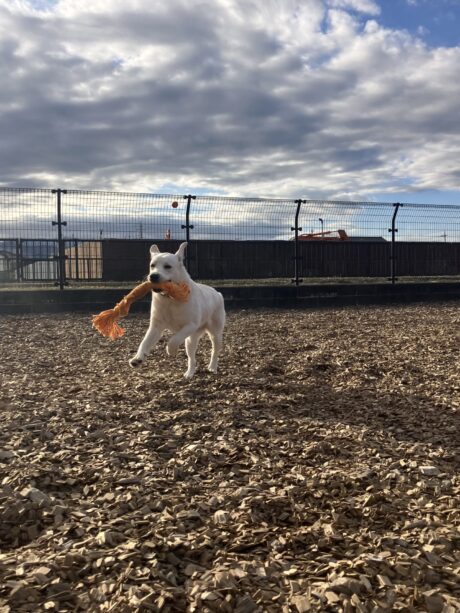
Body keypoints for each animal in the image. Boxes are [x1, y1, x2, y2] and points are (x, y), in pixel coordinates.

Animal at [128, 243, 226, 378]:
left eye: (168, 266)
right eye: (152, 265)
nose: (153, 276)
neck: (170, 298)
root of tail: (218, 293)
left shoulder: (190, 325)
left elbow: (173, 340)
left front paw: (171, 350)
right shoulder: (155, 327)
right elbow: (144, 342)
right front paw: (138, 358)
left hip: (215, 334)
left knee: (215, 351)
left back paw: (212, 367)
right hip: (191, 340)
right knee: (192, 358)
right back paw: (190, 373)